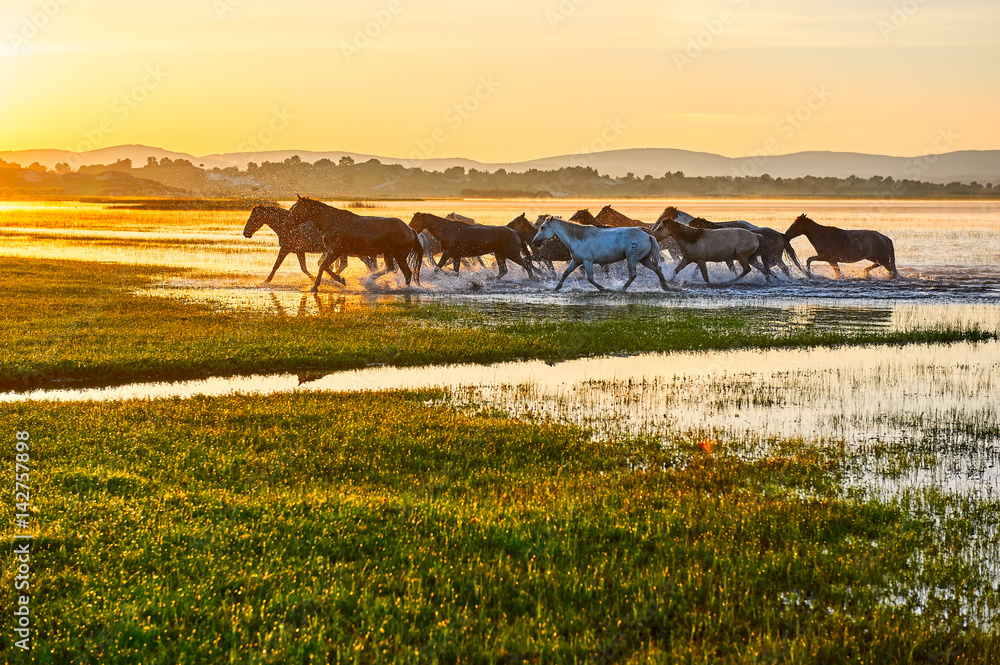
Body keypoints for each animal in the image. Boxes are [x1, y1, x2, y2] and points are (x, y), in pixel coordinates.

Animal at [286, 196, 422, 292]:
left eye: (296, 208)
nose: (287, 222)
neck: (332, 221)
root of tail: (410, 230)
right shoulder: (336, 251)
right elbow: (325, 266)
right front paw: (340, 279)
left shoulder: (335, 250)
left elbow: (323, 266)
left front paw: (315, 286)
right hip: (388, 254)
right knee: (390, 268)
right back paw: (370, 280)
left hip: (399, 256)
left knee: (407, 273)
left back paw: (405, 288)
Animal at [532, 217, 672, 292]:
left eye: (543, 227)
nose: (534, 242)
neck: (577, 238)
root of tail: (649, 236)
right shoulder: (576, 261)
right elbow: (565, 273)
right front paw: (557, 287)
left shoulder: (587, 261)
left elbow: (590, 278)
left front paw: (603, 288)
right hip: (644, 259)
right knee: (657, 269)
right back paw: (665, 287)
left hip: (632, 259)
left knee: (633, 275)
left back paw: (622, 288)